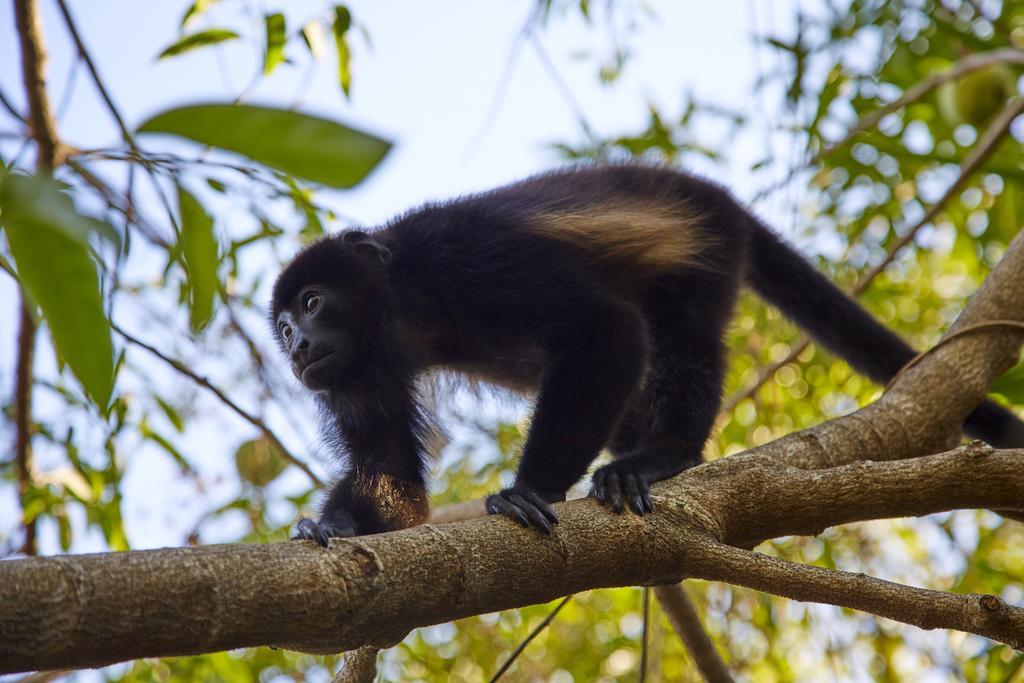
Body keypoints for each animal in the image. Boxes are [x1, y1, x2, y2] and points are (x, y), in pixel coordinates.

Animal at [272, 161, 1024, 544]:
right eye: (281, 326)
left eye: (311, 302)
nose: (298, 346)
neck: (402, 304)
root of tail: (716, 195)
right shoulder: (358, 371)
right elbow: (390, 472)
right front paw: (339, 524)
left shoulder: (467, 263)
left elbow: (605, 326)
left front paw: (527, 491)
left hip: (707, 246)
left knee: (679, 337)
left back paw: (665, 456)